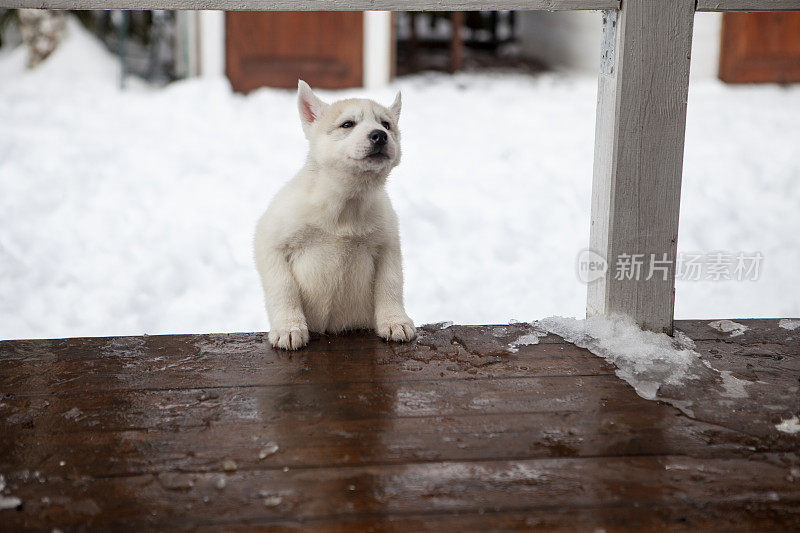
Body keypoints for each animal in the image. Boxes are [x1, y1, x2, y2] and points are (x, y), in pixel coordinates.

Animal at [253, 81, 416, 352]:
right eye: (347, 124)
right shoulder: (270, 241)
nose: (379, 135)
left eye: (386, 124)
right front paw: (289, 328)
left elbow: (390, 284)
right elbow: (283, 286)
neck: (345, 204)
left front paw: (395, 322)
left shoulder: (388, 246)